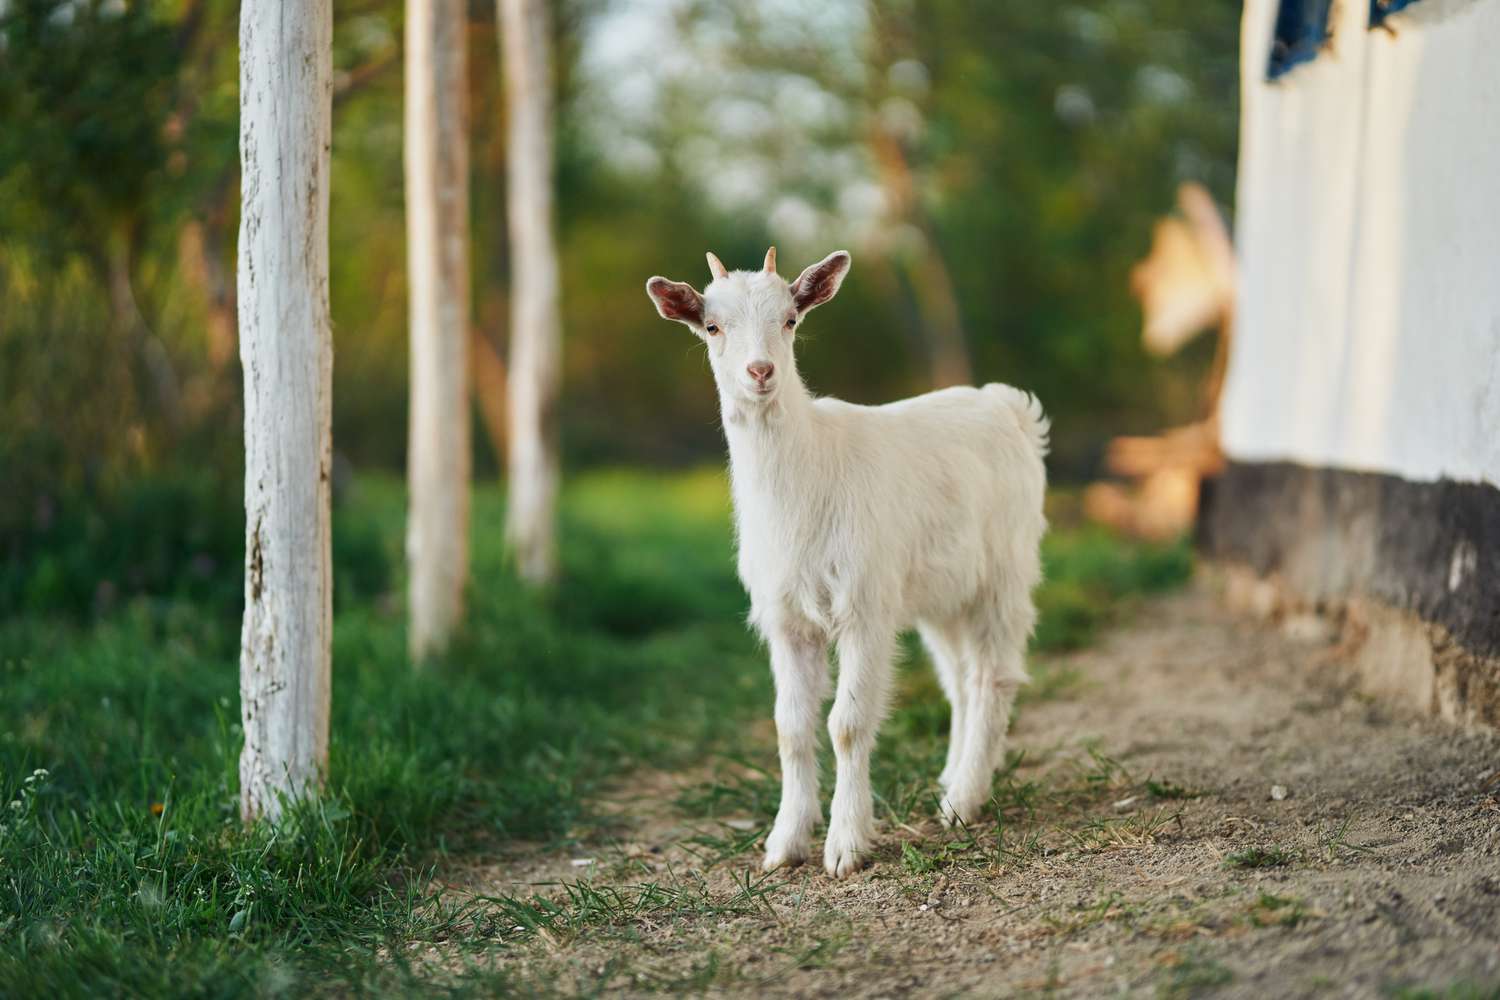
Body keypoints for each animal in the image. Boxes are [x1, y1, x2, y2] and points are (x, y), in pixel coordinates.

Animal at [646, 247, 1049, 877]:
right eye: (711, 327)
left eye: (790, 319)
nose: (760, 372)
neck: (806, 473)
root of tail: (1007, 405)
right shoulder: (787, 618)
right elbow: (790, 726)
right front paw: (784, 843)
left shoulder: (864, 605)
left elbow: (848, 723)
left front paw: (846, 844)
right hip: (940, 593)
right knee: (959, 678)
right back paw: (953, 779)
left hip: (1004, 571)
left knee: (994, 675)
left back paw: (963, 802)